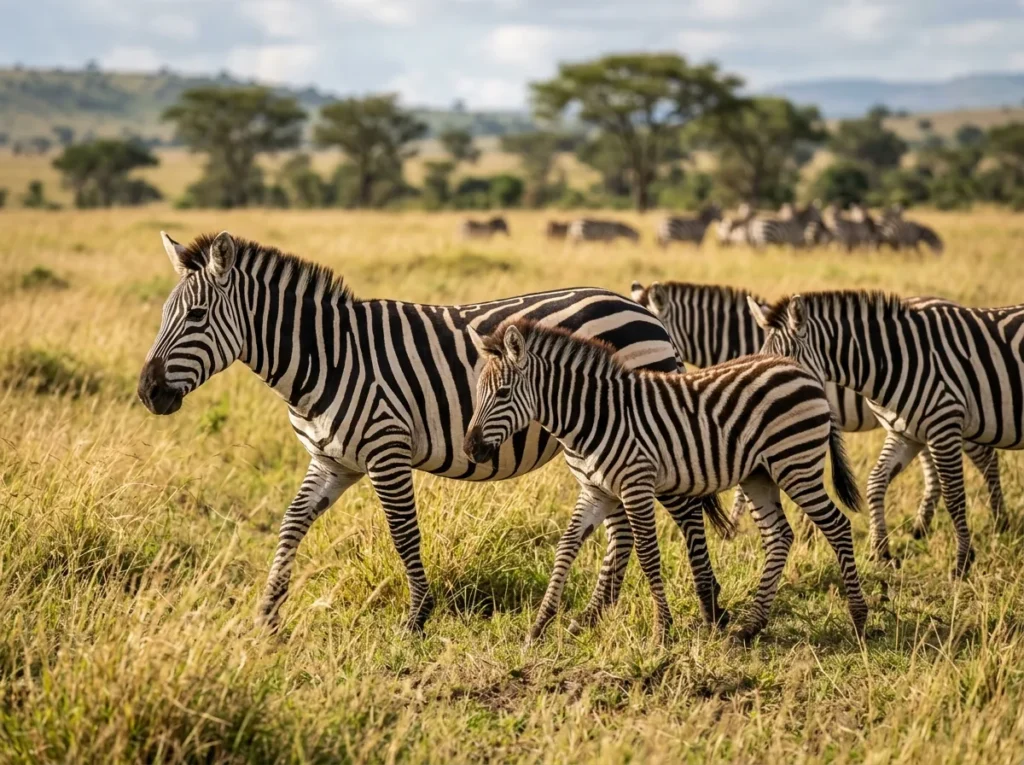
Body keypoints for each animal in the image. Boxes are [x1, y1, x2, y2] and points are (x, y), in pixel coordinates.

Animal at [137, 231, 680, 633]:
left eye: (196, 316)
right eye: (162, 315)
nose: (147, 392)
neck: (325, 356)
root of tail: (644, 311)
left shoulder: (387, 449)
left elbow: (402, 533)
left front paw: (418, 616)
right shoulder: (330, 460)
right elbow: (291, 523)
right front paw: (267, 617)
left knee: (625, 526)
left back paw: (595, 615)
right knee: (620, 527)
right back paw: (592, 616)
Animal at [464, 321, 869, 642]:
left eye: (502, 393)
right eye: (477, 392)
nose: (470, 449)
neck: (591, 417)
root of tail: (800, 371)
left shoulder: (636, 484)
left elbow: (647, 554)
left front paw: (662, 629)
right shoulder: (595, 491)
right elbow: (565, 547)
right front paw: (539, 626)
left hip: (795, 464)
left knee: (837, 526)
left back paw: (859, 619)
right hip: (759, 475)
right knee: (779, 536)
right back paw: (750, 627)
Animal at [752, 290, 1018, 575]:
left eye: (784, 363)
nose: (760, 414)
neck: (894, 360)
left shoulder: (945, 421)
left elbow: (954, 495)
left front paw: (962, 561)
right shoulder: (905, 432)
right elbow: (875, 481)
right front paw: (881, 552)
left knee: (985, 458)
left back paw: (1000, 523)